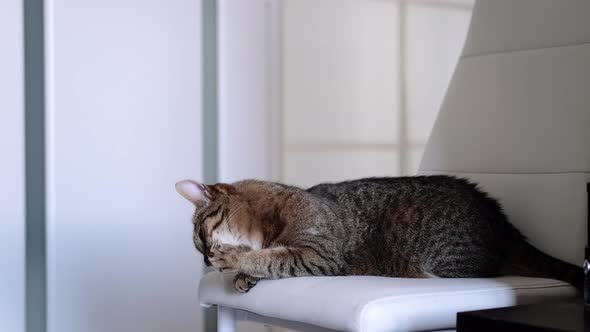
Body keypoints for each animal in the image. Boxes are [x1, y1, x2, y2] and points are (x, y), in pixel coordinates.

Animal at [176, 175, 584, 292]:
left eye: (202, 239)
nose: (207, 259)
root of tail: (497, 214)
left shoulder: (319, 255)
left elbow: (270, 258)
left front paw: (238, 262)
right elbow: (269, 259)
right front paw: (243, 275)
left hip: (444, 260)